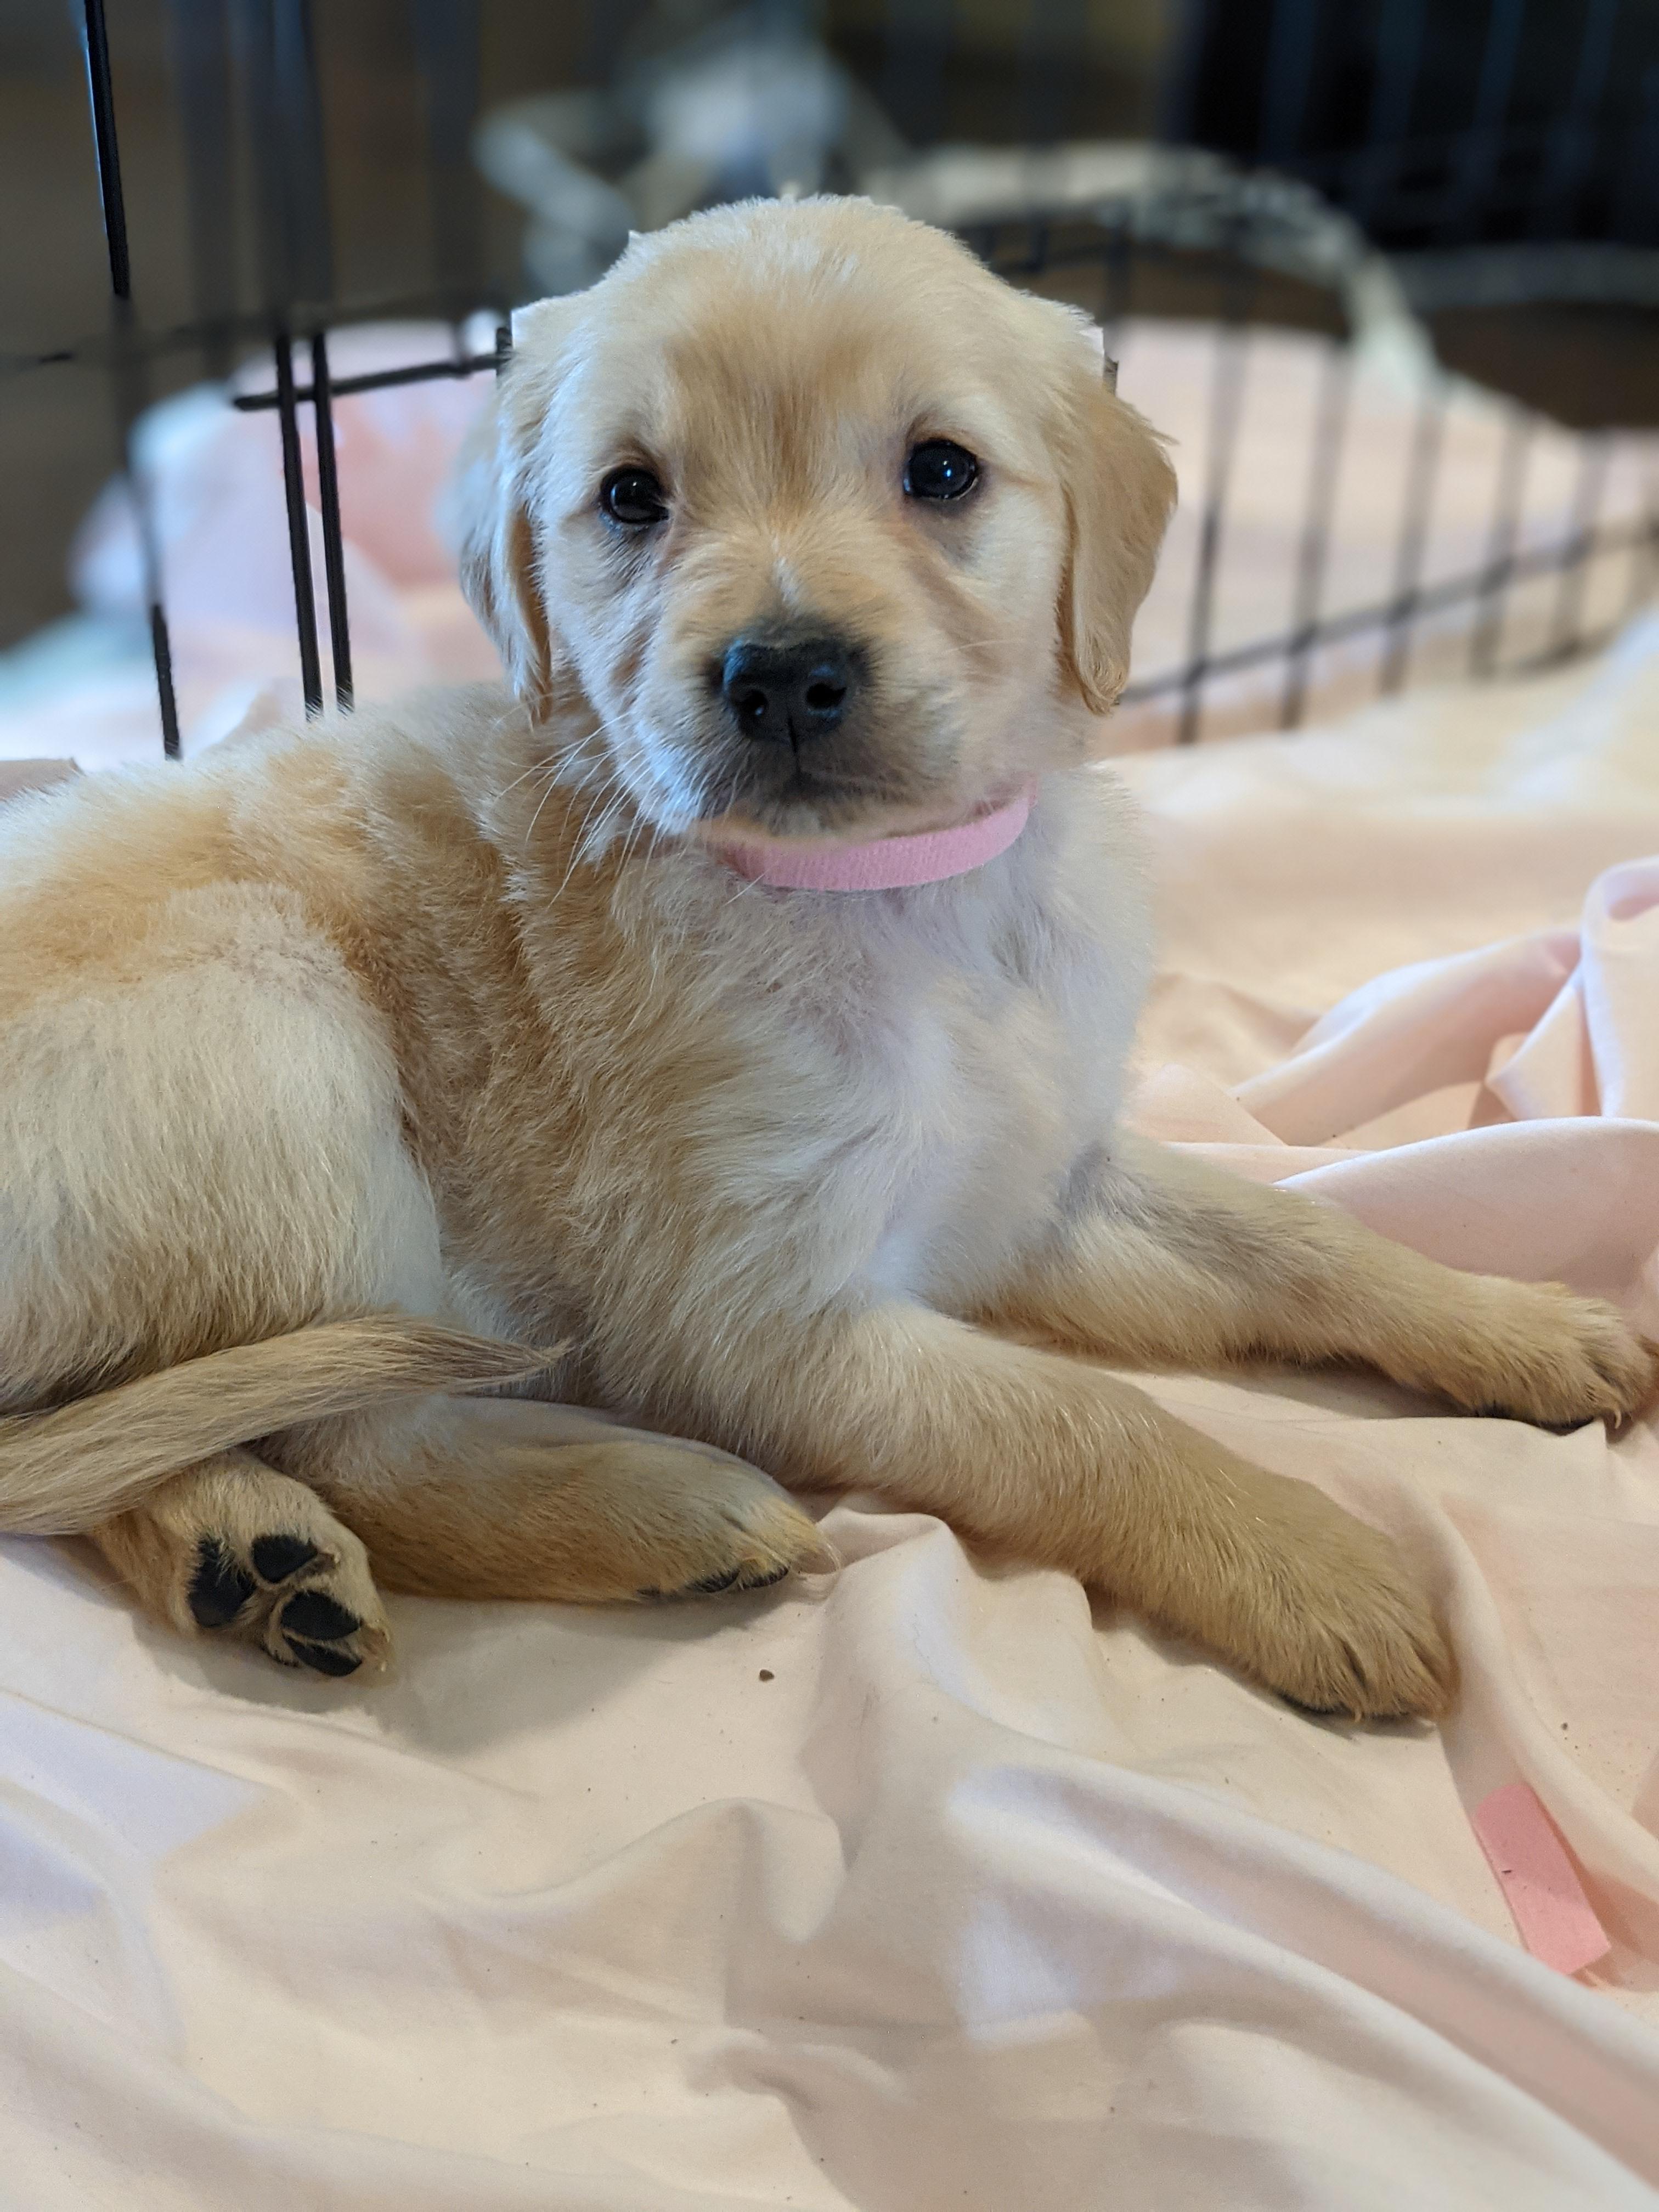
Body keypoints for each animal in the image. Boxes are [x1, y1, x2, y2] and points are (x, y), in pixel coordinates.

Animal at [0, 197, 1649, 1713]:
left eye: (943, 470)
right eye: (631, 498)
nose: (783, 674)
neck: (900, 901)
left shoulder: (1035, 1189)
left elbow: (1297, 1234)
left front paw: (1521, 1324)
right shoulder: (763, 1323)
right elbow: (1083, 1419)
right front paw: (1307, 1561)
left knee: (124, 1453)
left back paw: (245, 1559)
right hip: (279, 1048)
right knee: (355, 1438)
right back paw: (660, 1509)